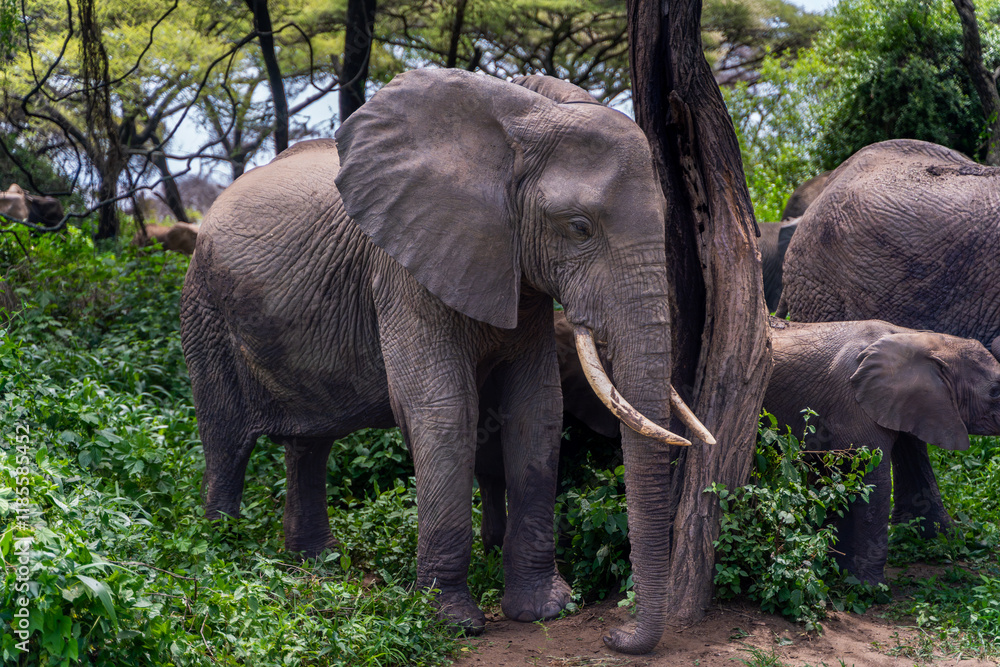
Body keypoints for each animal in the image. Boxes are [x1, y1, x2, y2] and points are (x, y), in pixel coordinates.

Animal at [179, 69, 712, 651]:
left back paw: (316, 565)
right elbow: (444, 411)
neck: (516, 127)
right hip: (203, 305)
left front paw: (546, 609)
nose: (616, 634)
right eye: (579, 227)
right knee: (226, 443)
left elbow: (536, 411)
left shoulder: (516, 273)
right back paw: (224, 554)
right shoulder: (402, 269)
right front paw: (450, 621)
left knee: (309, 445)